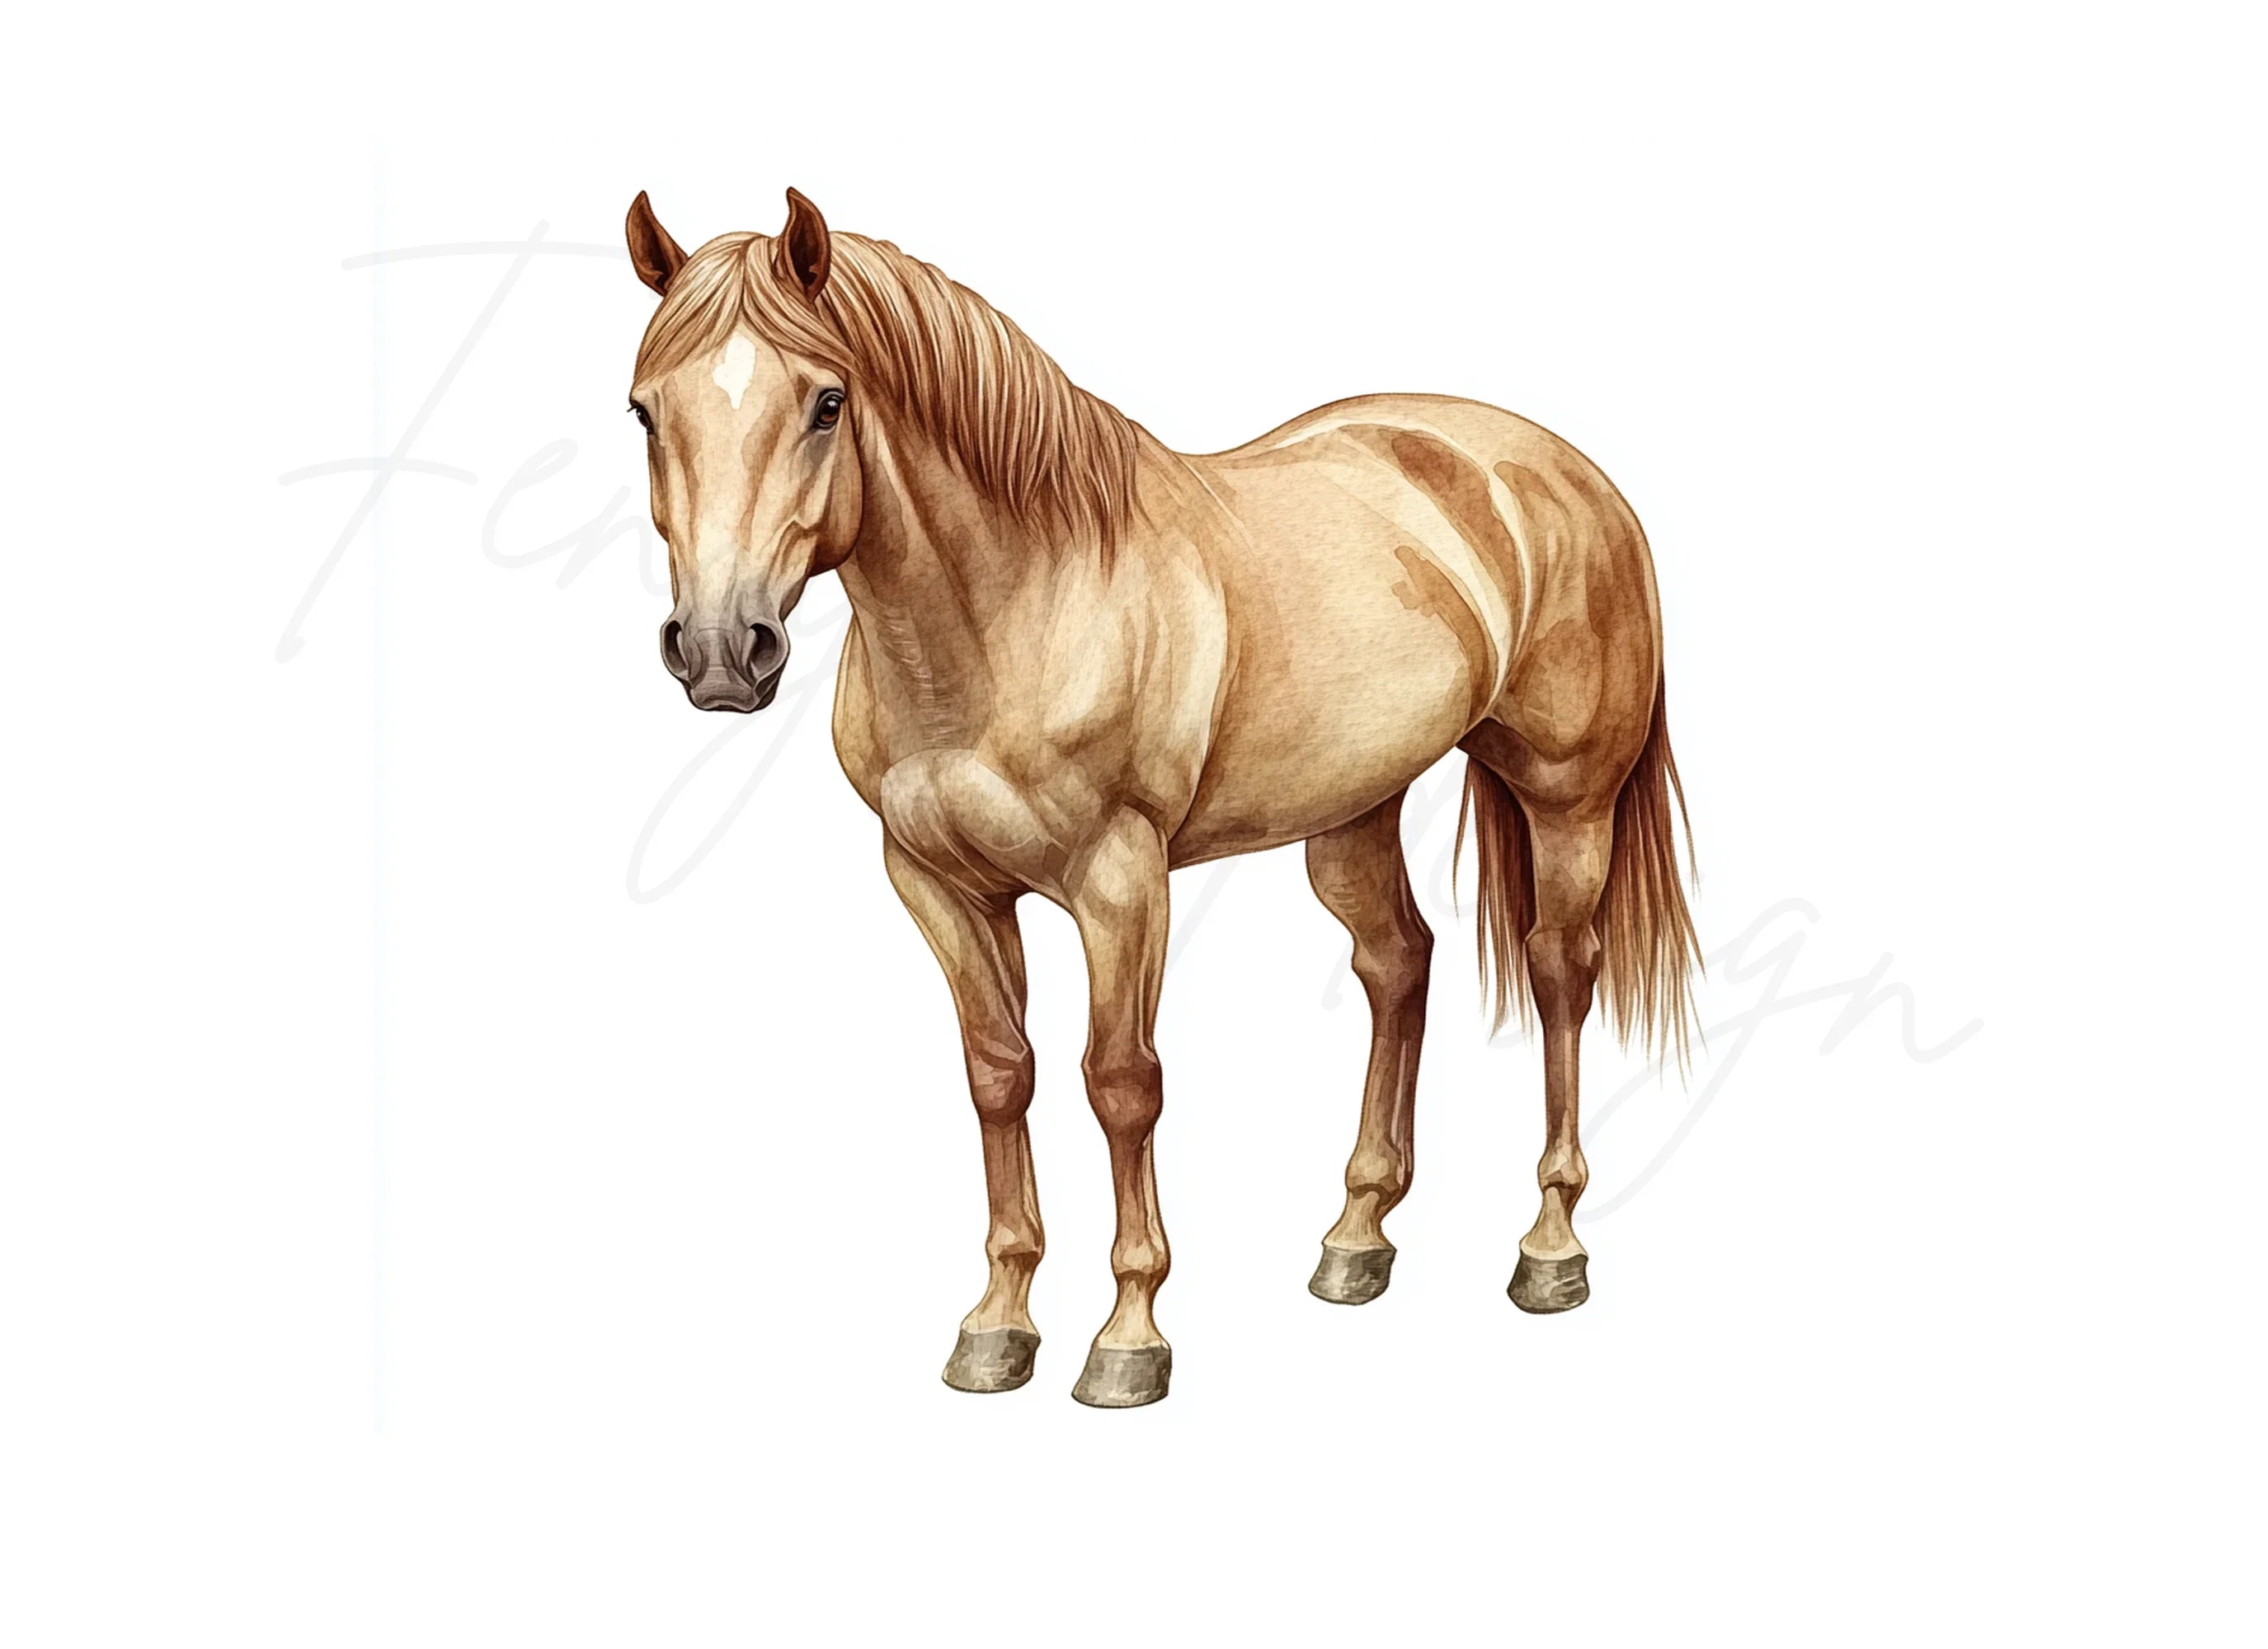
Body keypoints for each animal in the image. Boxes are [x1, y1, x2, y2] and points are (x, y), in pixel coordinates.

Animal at [621, 187, 1698, 1407]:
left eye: (826, 402)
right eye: (645, 412)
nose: (721, 651)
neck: (1016, 604)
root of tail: (1564, 470)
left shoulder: (1119, 880)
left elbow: (1120, 1081)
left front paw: (1127, 1336)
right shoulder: (937, 883)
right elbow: (999, 1075)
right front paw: (997, 1323)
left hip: (1567, 799)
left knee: (1559, 971)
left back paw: (1548, 1247)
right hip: (1351, 811)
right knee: (1396, 962)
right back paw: (1354, 1239)